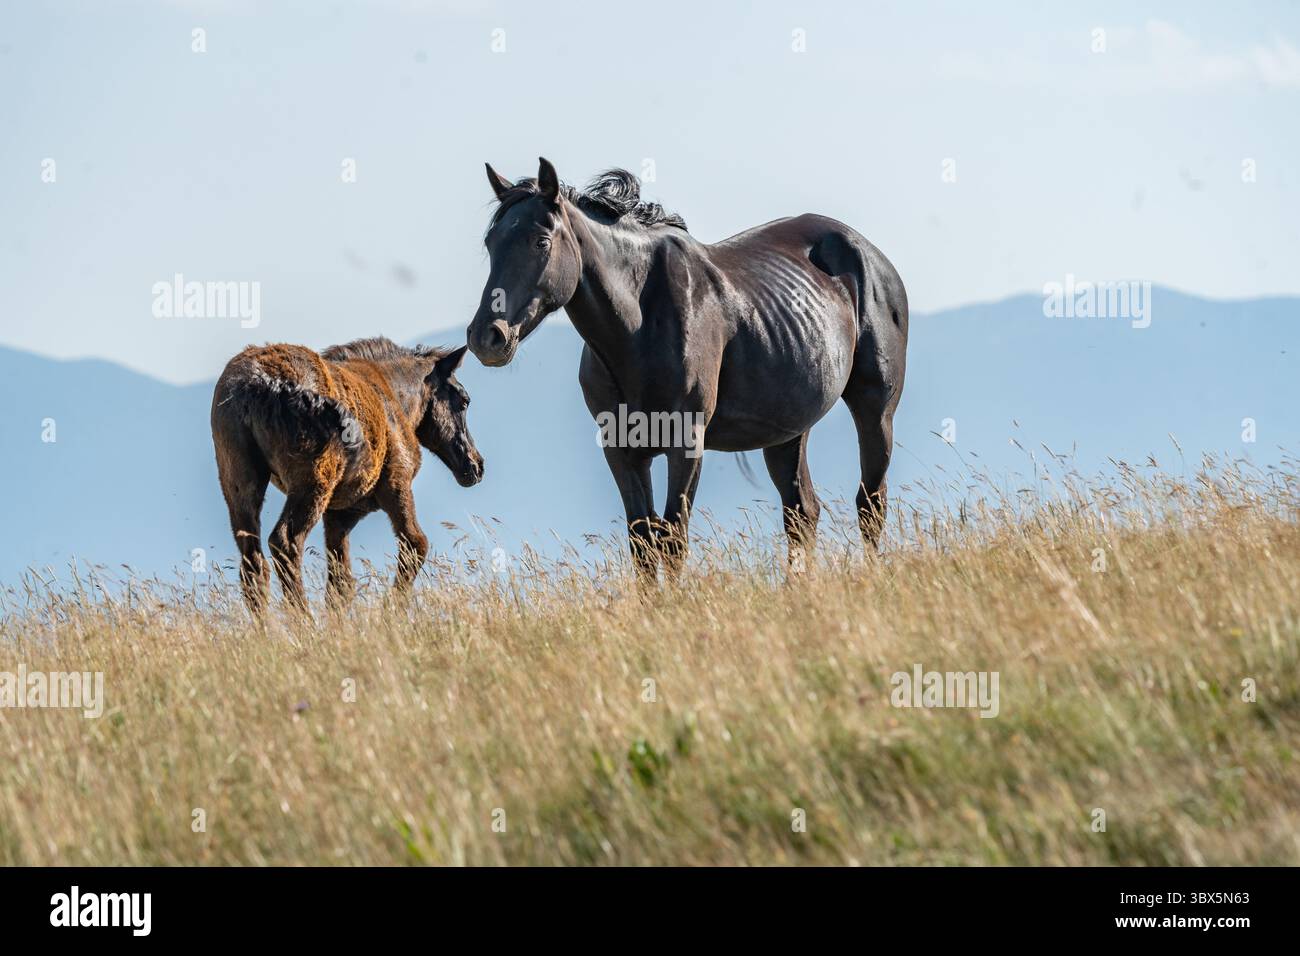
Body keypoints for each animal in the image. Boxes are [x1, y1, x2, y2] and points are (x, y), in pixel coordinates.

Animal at [210, 337, 483, 612]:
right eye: (464, 401)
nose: (476, 465)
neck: (393, 396)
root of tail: (259, 383)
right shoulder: (395, 485)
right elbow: (415, 543)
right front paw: (391, 608)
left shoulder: (339, 514)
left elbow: (340, 584)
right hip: (313, 483)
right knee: (285, 541)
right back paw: (302, 617)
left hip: (239, 485)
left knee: (252, 561)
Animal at [466, 159, 907, 579]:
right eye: (490, 242)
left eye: (541, 241)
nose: (487, 336)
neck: (640, 324)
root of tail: (868, 254)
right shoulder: (621, 450)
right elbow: (643, 543)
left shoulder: (686, 442)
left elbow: (673, 538)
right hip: (788, 433)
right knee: (802, 512)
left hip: (875, 411)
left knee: (870, 504)